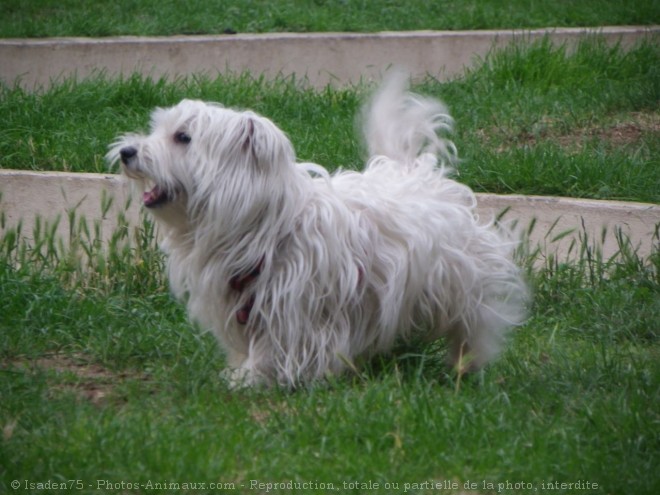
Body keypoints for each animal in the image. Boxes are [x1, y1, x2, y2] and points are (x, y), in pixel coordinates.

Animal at [109, 75, 532, 390]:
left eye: (183, 137)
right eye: (159, 129)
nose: (127, 152)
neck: (265, 230)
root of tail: (419, 172)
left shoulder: (299, 306)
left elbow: (285, 343)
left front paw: (263, 377)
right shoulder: (245, 303)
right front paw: (245, 371)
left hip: (462, 280)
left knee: (473, 323)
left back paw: (466, 363)